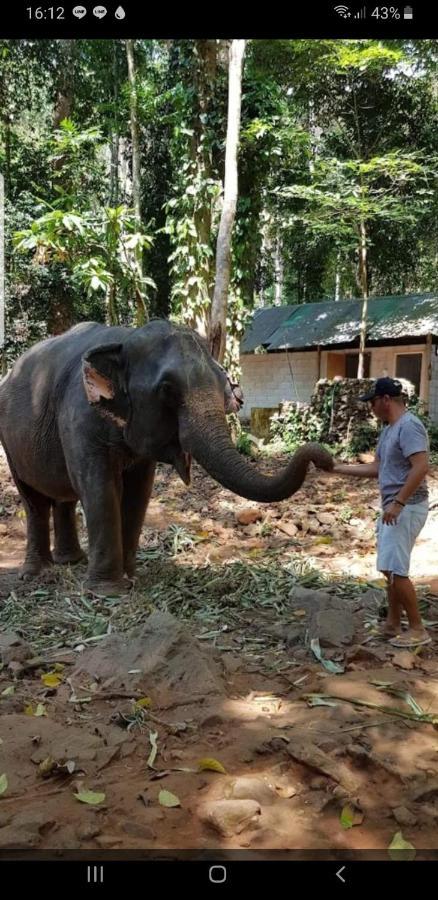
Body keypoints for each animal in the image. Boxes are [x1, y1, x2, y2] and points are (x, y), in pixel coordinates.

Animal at [0, 320, 332, 596]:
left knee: (64, 498)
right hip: (10, 445)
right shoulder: (80, 420)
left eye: (224, 383)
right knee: (34, 501)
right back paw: (35, 574)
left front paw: (131, 578)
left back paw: (71, 562)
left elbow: (139, 492)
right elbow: (99, 489)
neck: (125, 338)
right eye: (167, 390)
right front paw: (108, 592)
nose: (324, 460)